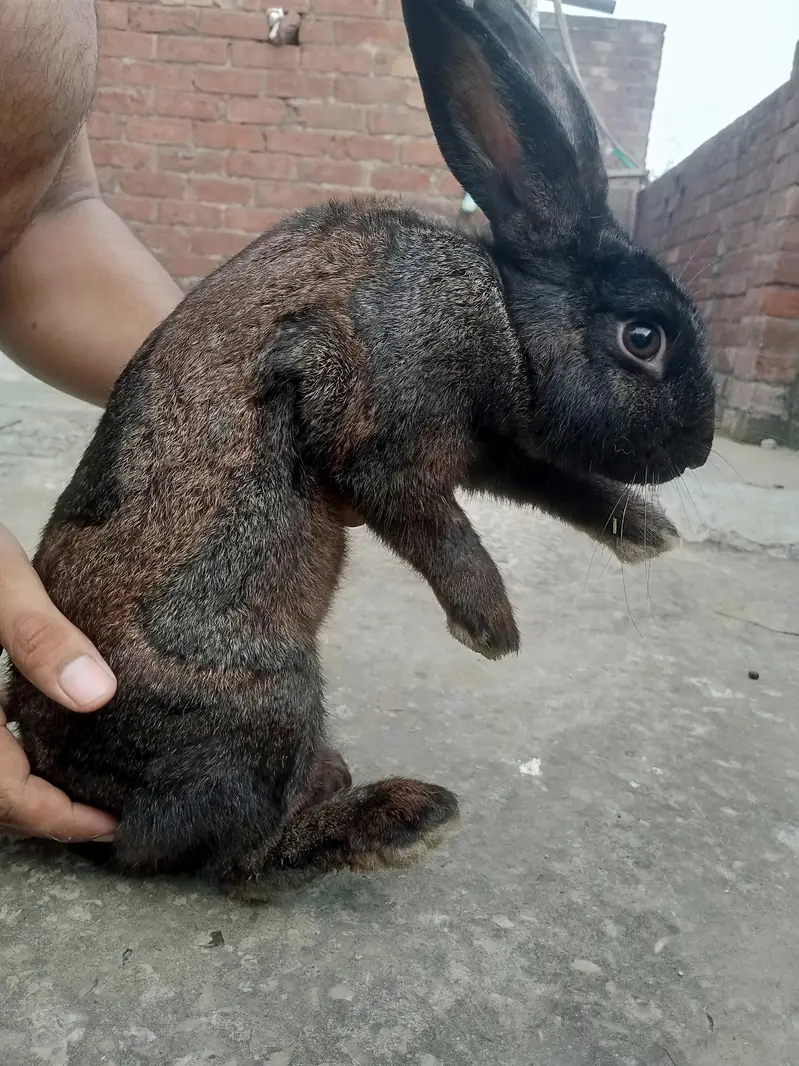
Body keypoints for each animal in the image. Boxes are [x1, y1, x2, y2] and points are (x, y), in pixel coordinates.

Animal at [4, 0, 715, 899]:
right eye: (641, 338)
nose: (699, 449)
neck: (507, 316)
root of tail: (69, 780)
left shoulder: (495, 450)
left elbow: (560, 485)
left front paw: (651, 534)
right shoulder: (373, 430)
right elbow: (438, 525)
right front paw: (490, 630)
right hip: (264, 701)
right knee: (233, 855)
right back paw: (398, 817)